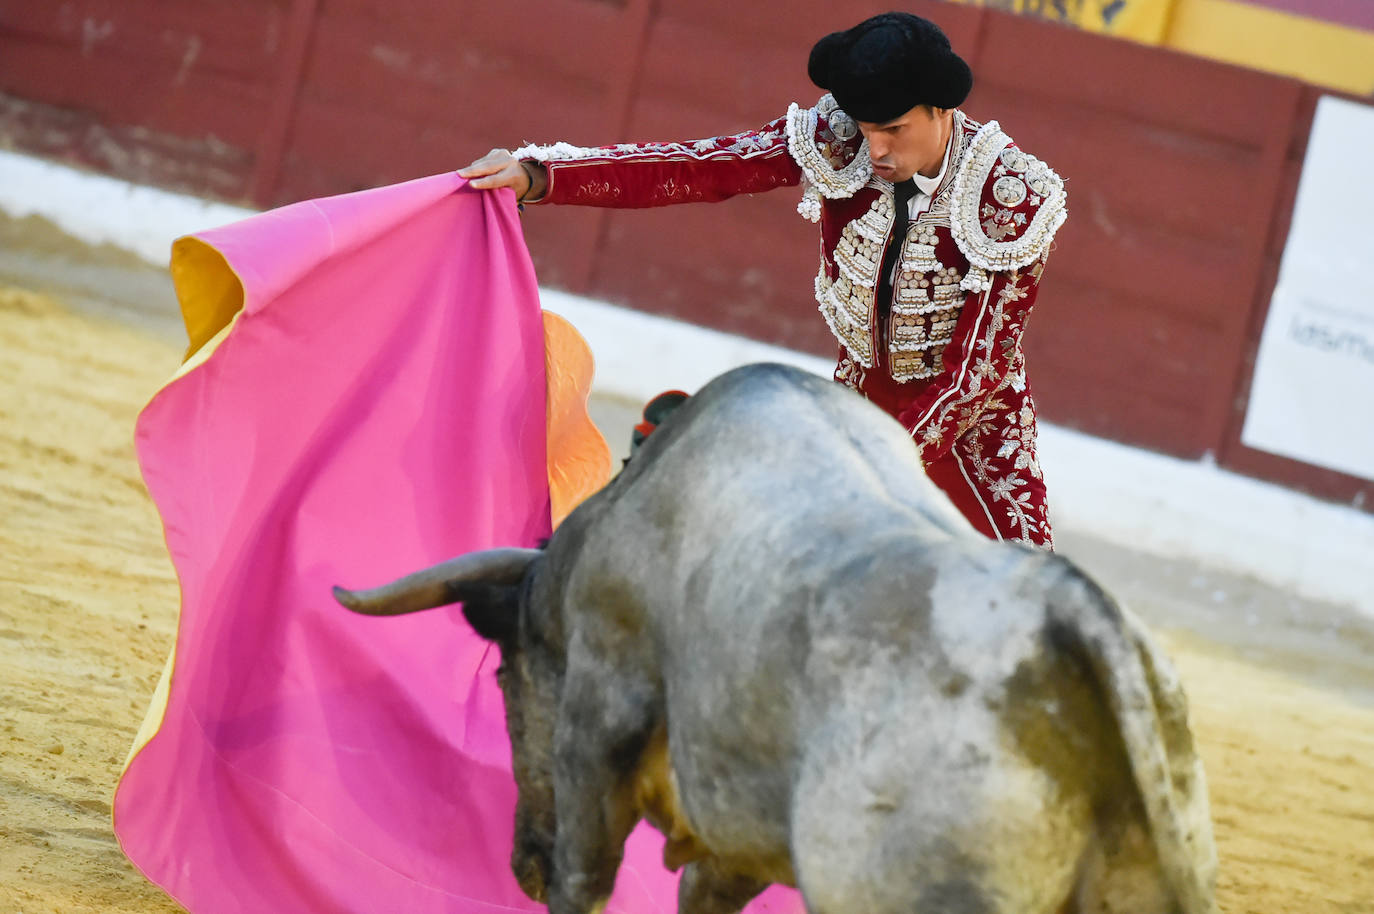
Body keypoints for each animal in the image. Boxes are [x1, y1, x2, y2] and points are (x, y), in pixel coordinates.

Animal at [332, 360, 1214, 912]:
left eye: (504, 678)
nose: (523, 865)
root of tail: (1074, 623)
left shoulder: (600, 714)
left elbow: (588, 877)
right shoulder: (735, 837)